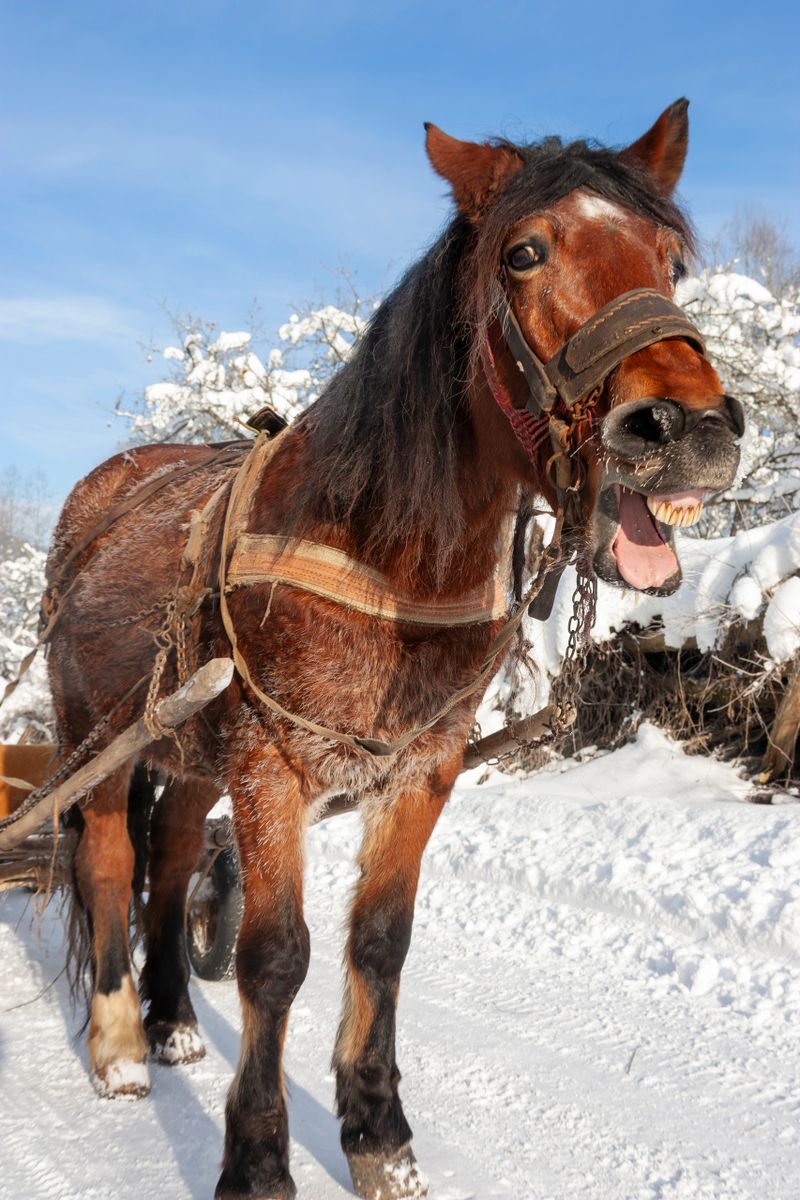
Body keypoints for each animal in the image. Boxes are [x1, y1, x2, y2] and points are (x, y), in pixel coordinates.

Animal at [46, 99, 743, 1199]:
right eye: (525, 252)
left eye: (668, 258)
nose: (690, 430)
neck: (381, 560)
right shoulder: (271, 765)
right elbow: (274, 956)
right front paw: (258, 1160)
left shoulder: (422, 767)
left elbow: (379, 944)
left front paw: (377, 1134)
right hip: (99, 737)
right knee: (114, 860)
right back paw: (118, 1043)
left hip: (191, 757)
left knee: (172, 856)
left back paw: (170, 1022)